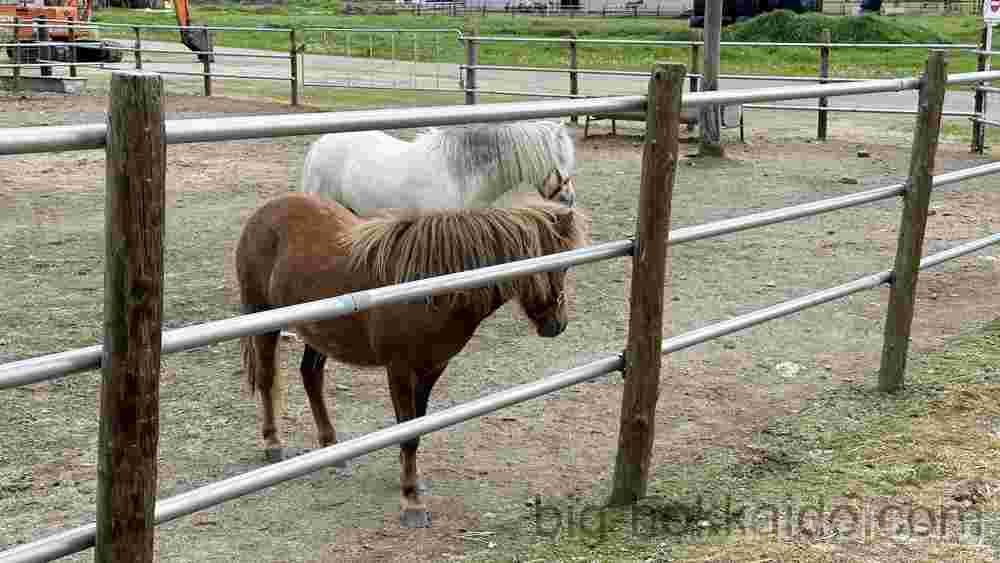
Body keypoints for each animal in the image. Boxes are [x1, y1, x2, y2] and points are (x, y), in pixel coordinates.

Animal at [238, 193, 588, 528]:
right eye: (557, 265)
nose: (558, 324)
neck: (432, 287)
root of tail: (261, 214)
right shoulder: (400, 371)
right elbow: (407, 433)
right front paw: (412, 504)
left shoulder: (431, 369)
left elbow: (415, 429)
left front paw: (411, 484)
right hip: (264, 320)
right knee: (268, 377)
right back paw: (273, 444)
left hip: (319, 334)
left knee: (311, 376)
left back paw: (333, 450)